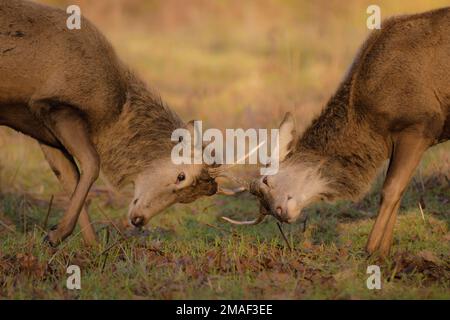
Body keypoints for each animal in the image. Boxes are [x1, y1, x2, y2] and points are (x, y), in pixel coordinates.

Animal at [0, 0, 232, 246]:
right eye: (181, 176)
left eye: (187, 199)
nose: (139, 220)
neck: (109, 120)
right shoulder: (53, 105)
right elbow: (91, 165)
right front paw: (57, 234)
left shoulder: (43, 131)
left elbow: (69, 177)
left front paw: (91, 246)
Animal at [225, 8, 450, 258]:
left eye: (267, 180)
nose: (281, 212)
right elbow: (398, 191)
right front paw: (385, 251)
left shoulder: (419, 125)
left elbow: (390, 190)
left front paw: (371, 250)